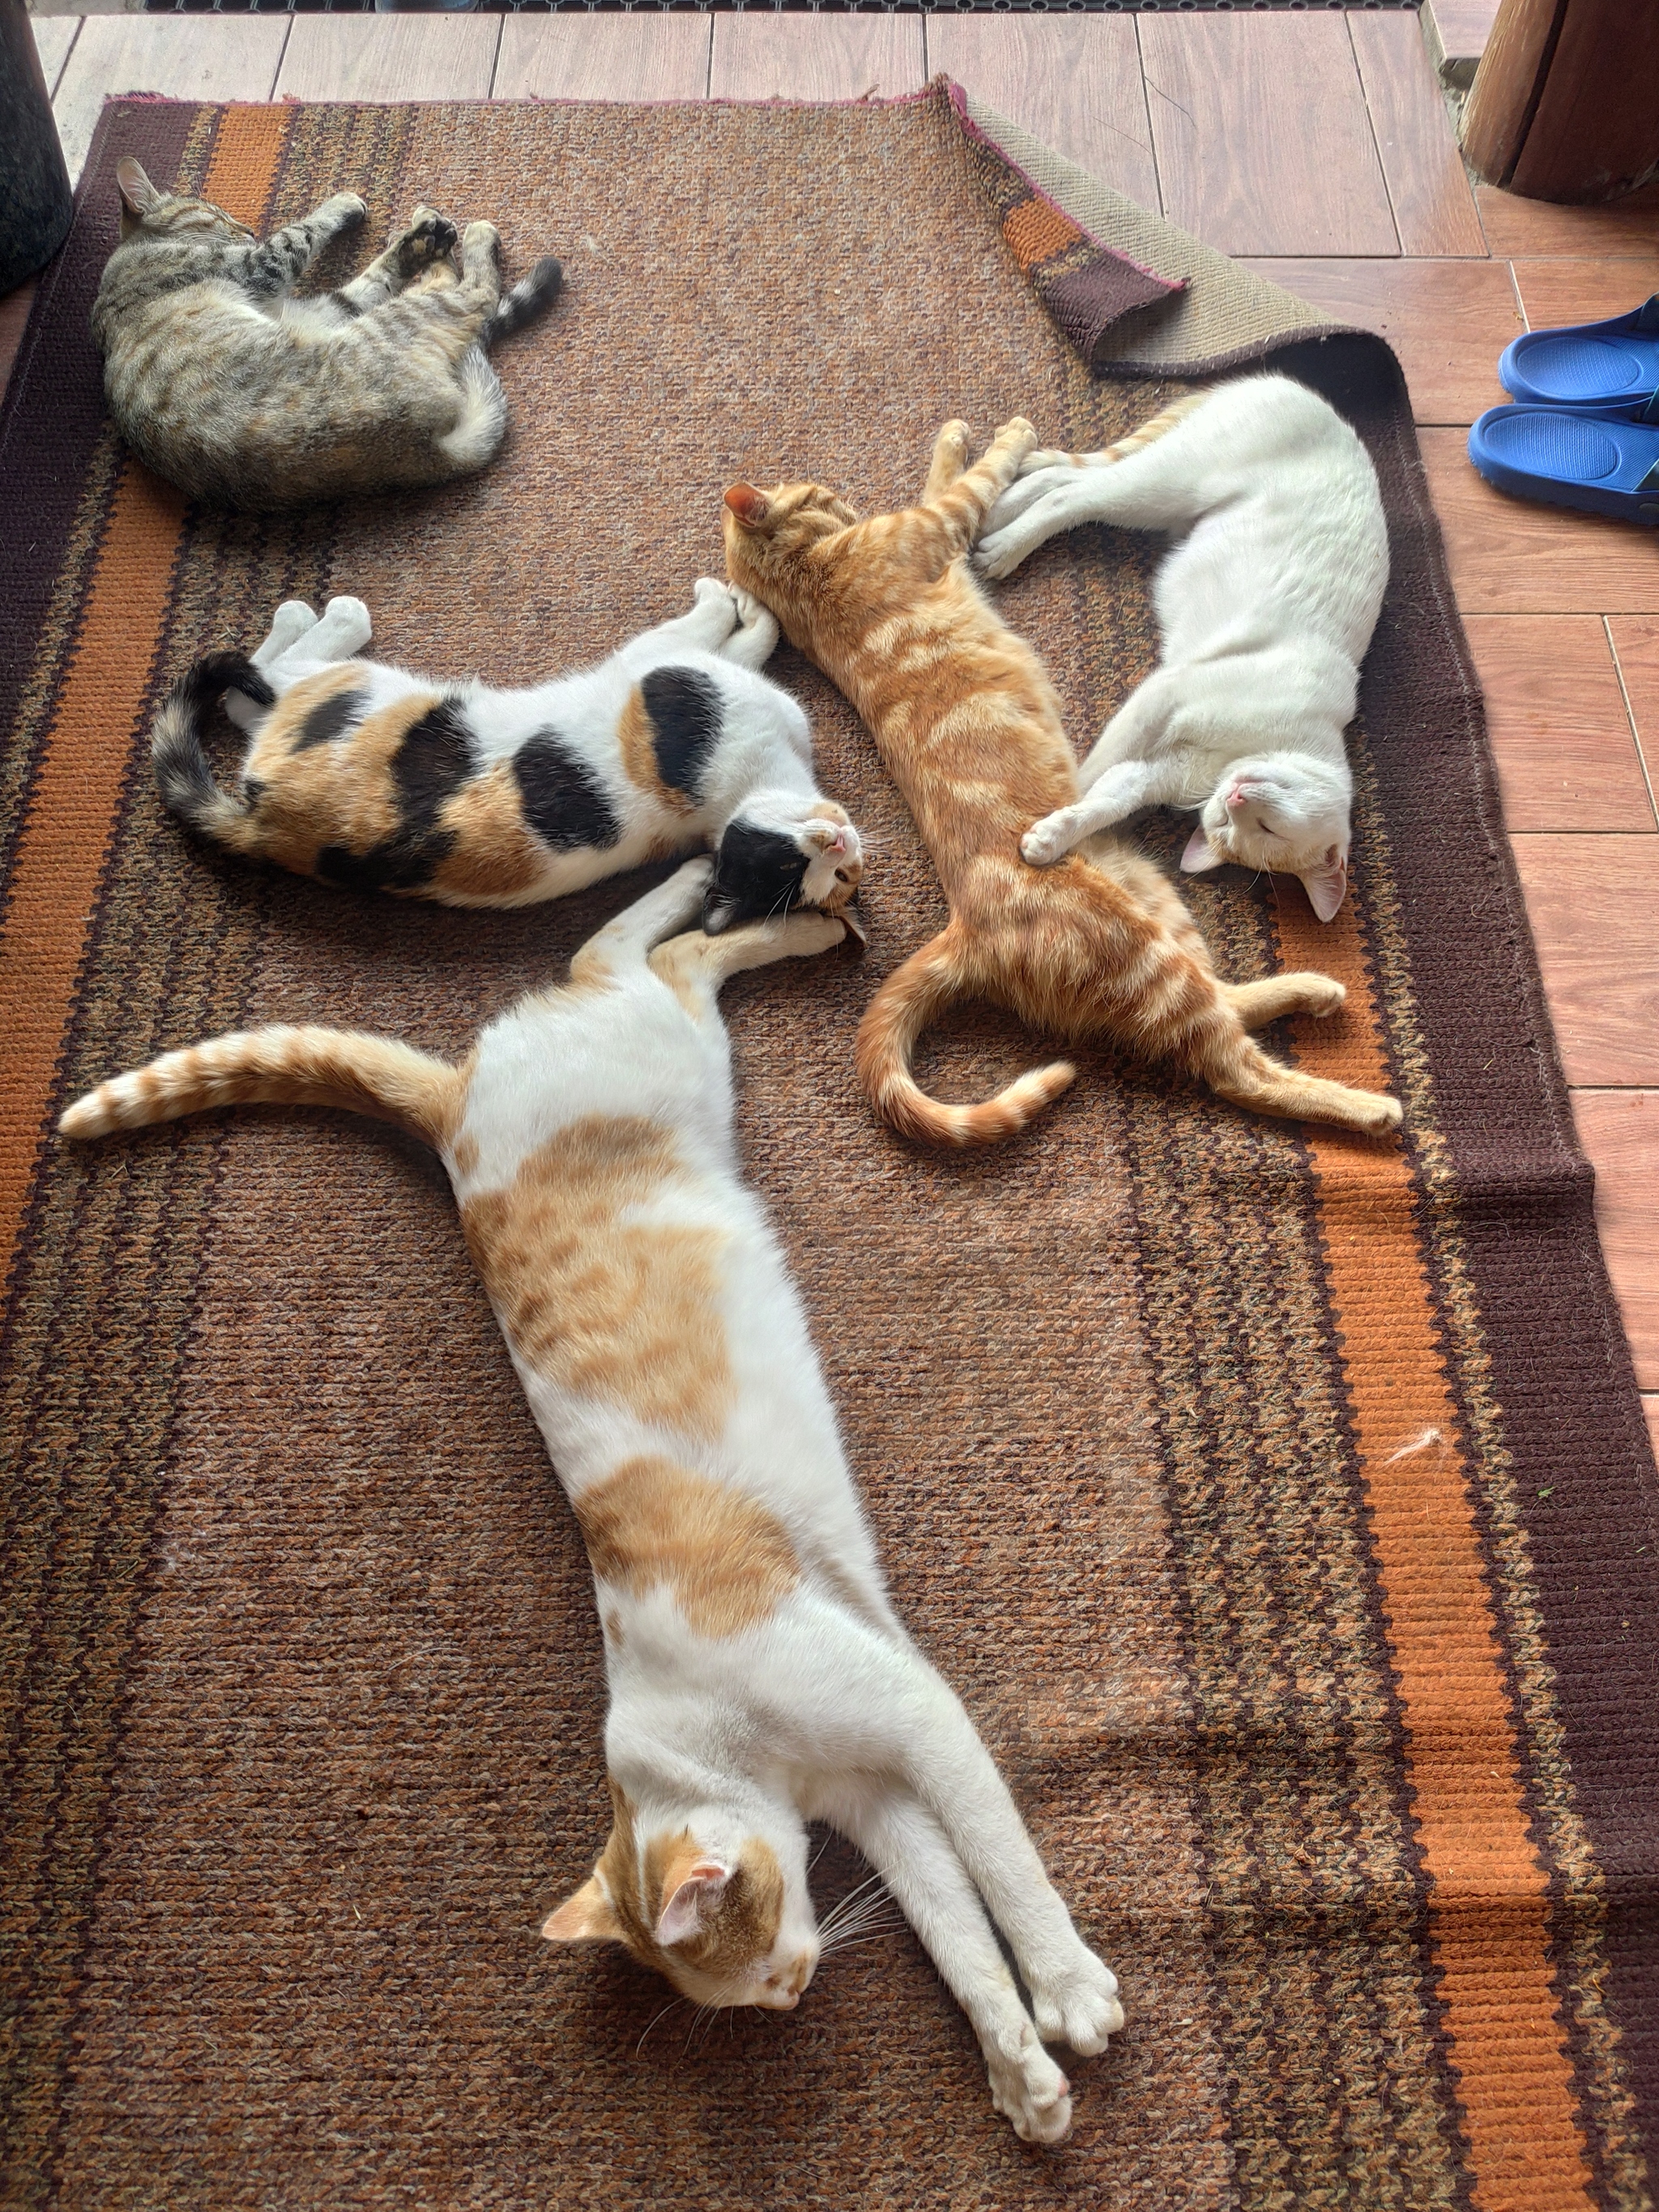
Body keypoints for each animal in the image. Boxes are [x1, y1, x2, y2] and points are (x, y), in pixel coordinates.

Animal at [59, 858, 1123, 2144]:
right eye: (761, 1975)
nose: (795, 1989)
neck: (713, 1748)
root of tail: (456, 1103)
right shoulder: (873, 1797)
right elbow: (955, 1924)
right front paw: (1021, 2068)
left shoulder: (915, 1716)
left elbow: (1002, 1861)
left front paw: (1067, 1987)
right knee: (642, 959)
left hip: (671, 1041)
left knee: (641, 952)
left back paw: (770, 910)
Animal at [92, 159, 562, 509]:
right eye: (217, 214)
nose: (247, 229)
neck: (134, 254)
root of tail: (429, 451)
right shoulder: (261, 265)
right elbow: (301, 232)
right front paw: (344, 204)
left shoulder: (317, 307)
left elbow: (372, 279)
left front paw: (415, 242)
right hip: (386, 327)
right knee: (473, 292)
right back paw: (463, 237)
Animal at [154, 581, 863, 932]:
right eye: (789, 861)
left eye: (831, 879)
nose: (838, 843)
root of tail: (260, 823)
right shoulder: (664, 666)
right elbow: (740, 634)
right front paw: (745, 599)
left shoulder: (665, 668)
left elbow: (732, 633)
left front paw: (742, 600)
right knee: (253, 690)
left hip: (346, 690)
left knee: (255, 691)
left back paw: (317, 616)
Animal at [974, 376, 1391, 923]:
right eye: (1258, 825)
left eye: (1238, 828)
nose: (1237, 796)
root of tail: (1299, 390)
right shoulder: (1165, 694)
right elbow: (1088, 773)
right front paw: (1048, 801)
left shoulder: (1150, 775)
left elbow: (1103, 800)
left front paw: (1051, 838)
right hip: (1168, 485)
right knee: (1071, 496)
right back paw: (1003, 544)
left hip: (1161, 503)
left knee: (1064, 478)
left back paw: (998, 508)